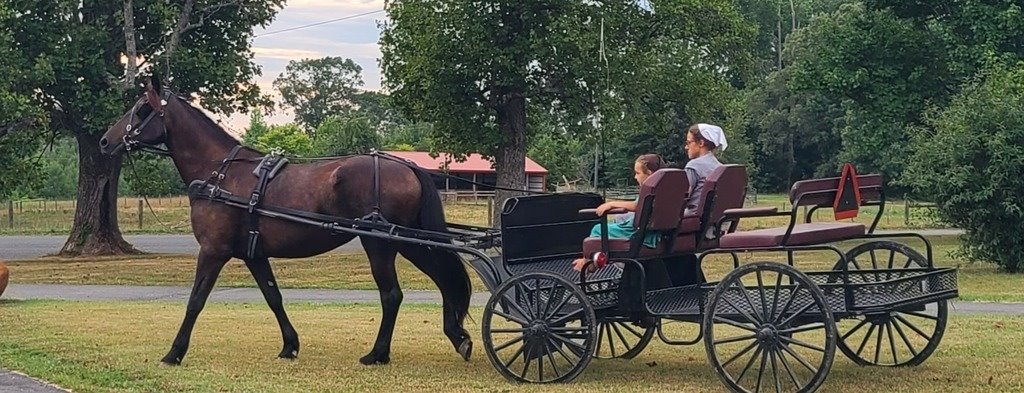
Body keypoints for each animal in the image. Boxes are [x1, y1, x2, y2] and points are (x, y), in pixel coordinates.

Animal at [97, 81, 473, 366]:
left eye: (141, 109)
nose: (104, 141)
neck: (220, 174)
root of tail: (406, 165)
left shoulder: (213, 251)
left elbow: (195, 301)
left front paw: (174, 353)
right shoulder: (254, 254)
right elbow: (273, 297)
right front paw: (290, 345)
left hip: (381, 243)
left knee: (392, 294)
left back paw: (377, 354)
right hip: (407, 241)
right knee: (443, 280)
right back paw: (457, 337)